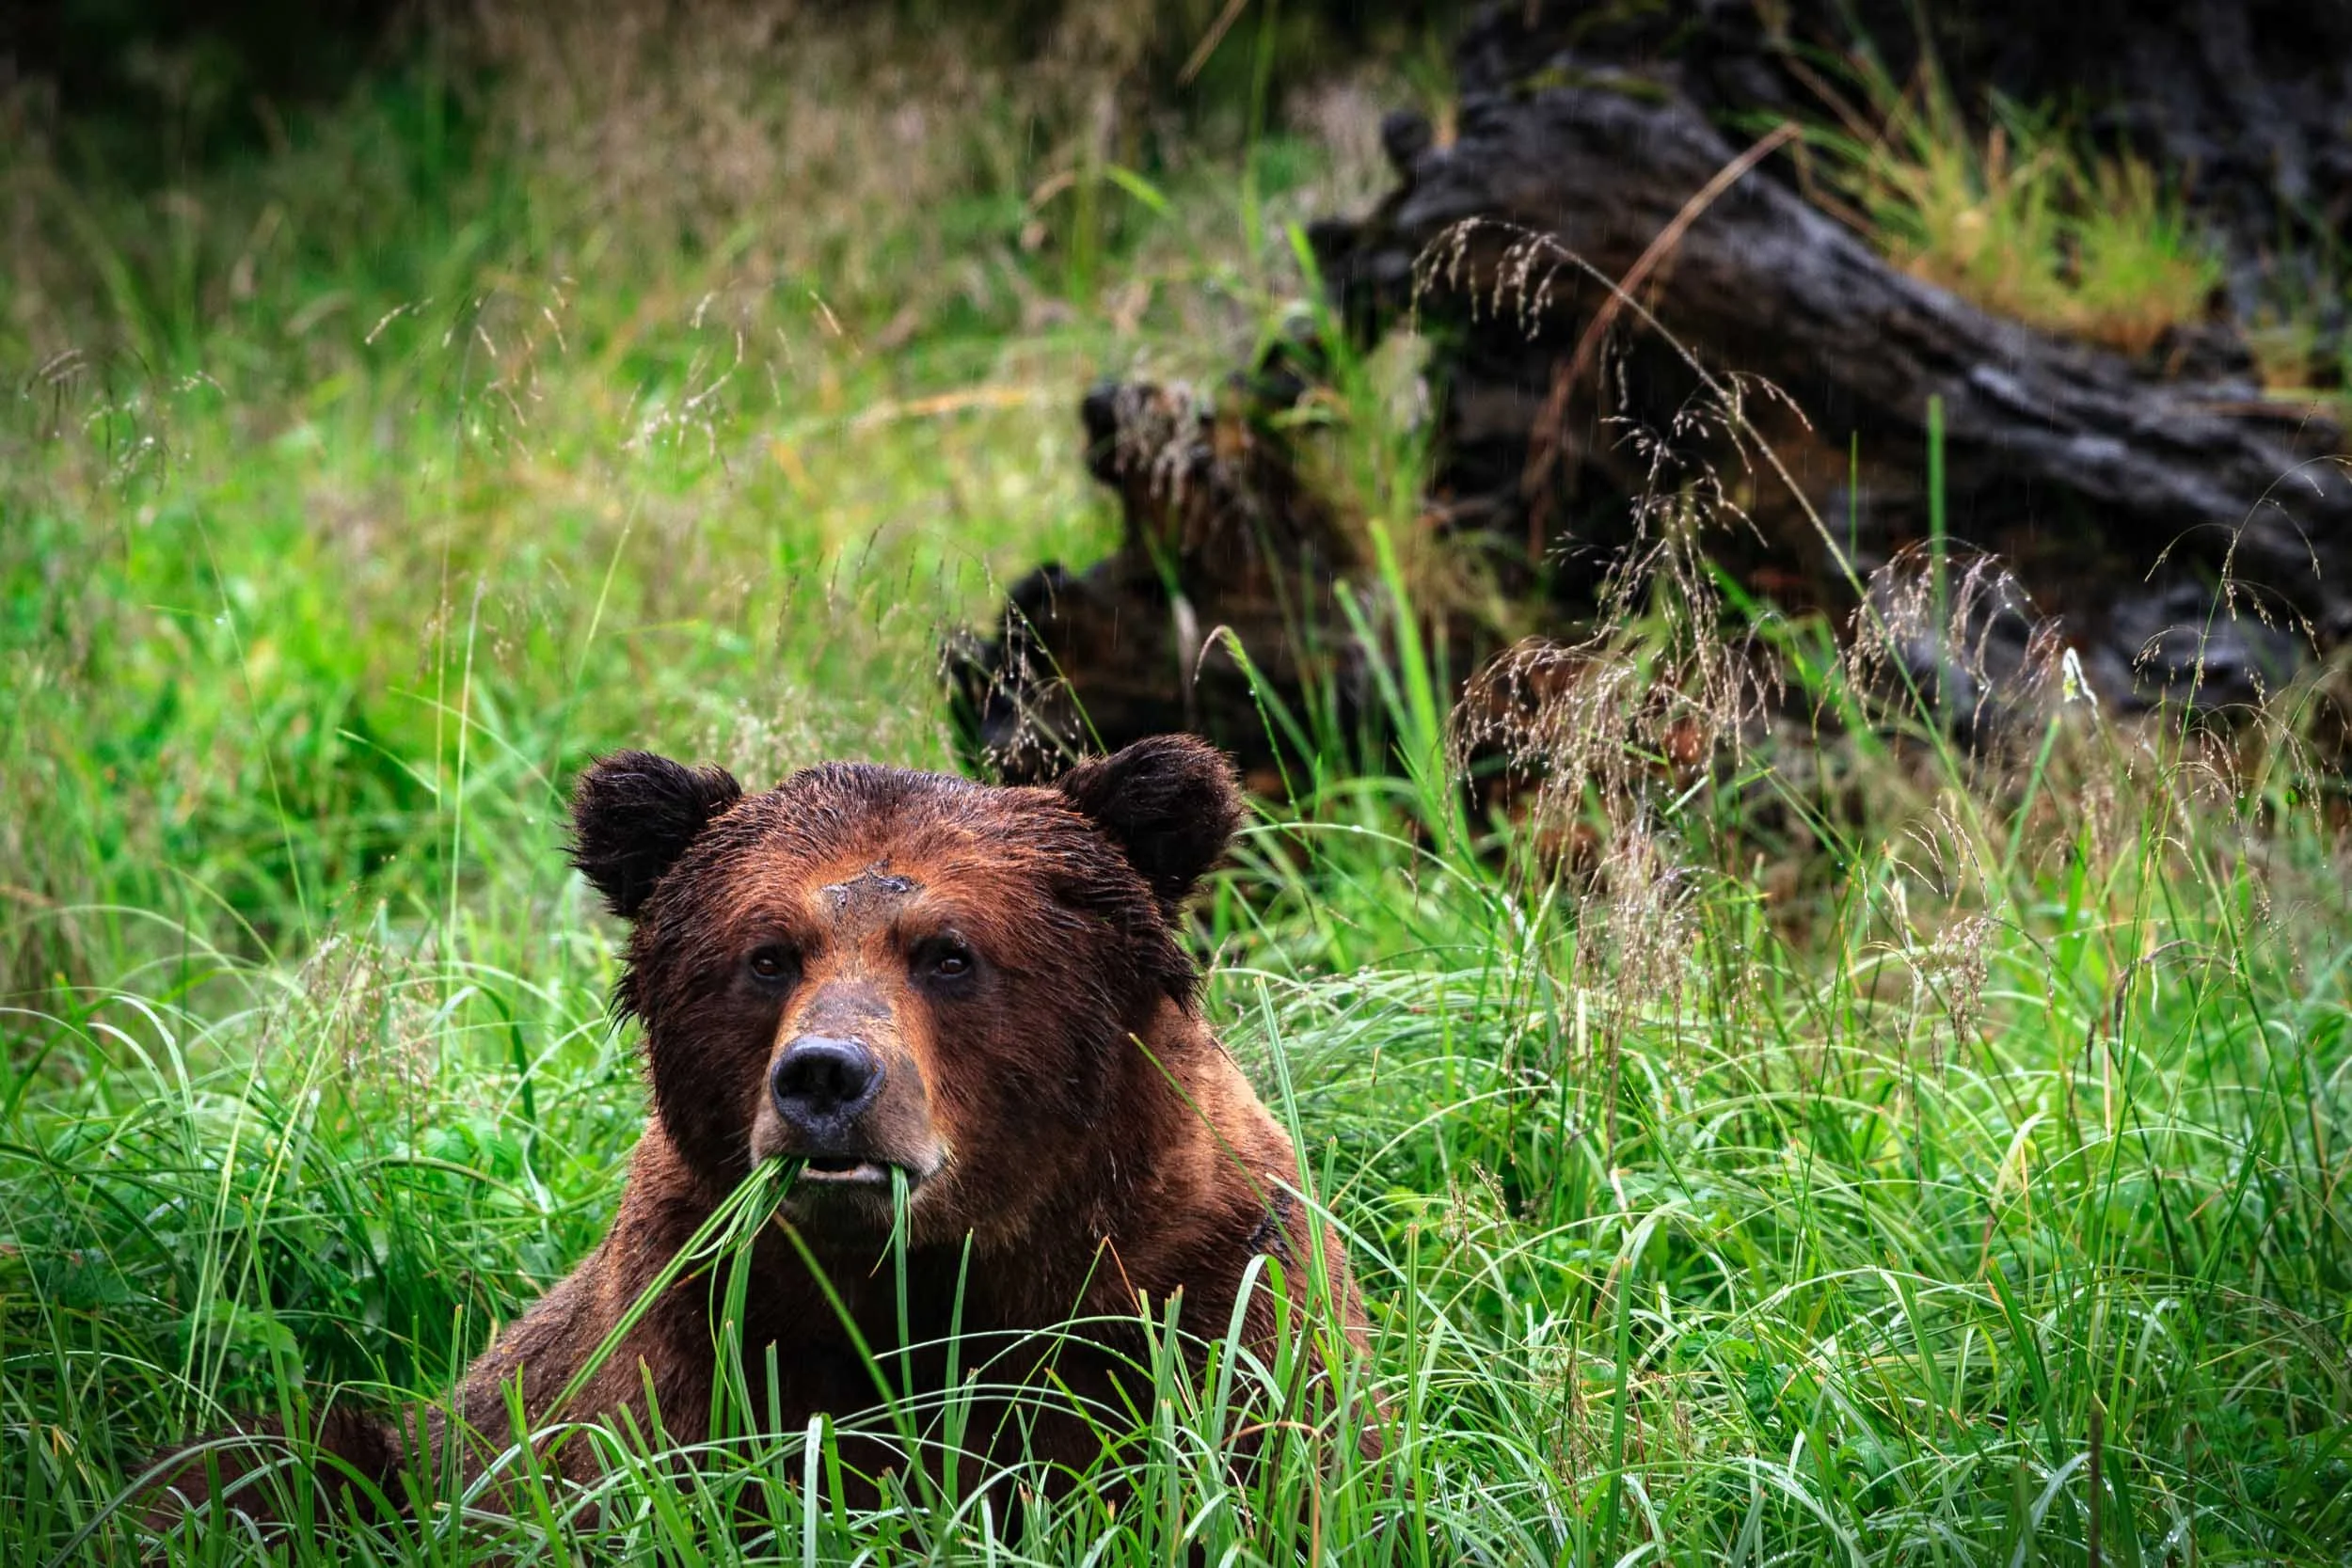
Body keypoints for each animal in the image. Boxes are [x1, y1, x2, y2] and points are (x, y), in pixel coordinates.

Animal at [143, 734, 1372, 1537]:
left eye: (949, 952)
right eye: (769, 953)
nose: (826, 1076)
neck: (932, 1273)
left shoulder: (1199, 1291)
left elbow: (1253, 1468)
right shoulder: (705, 1332)